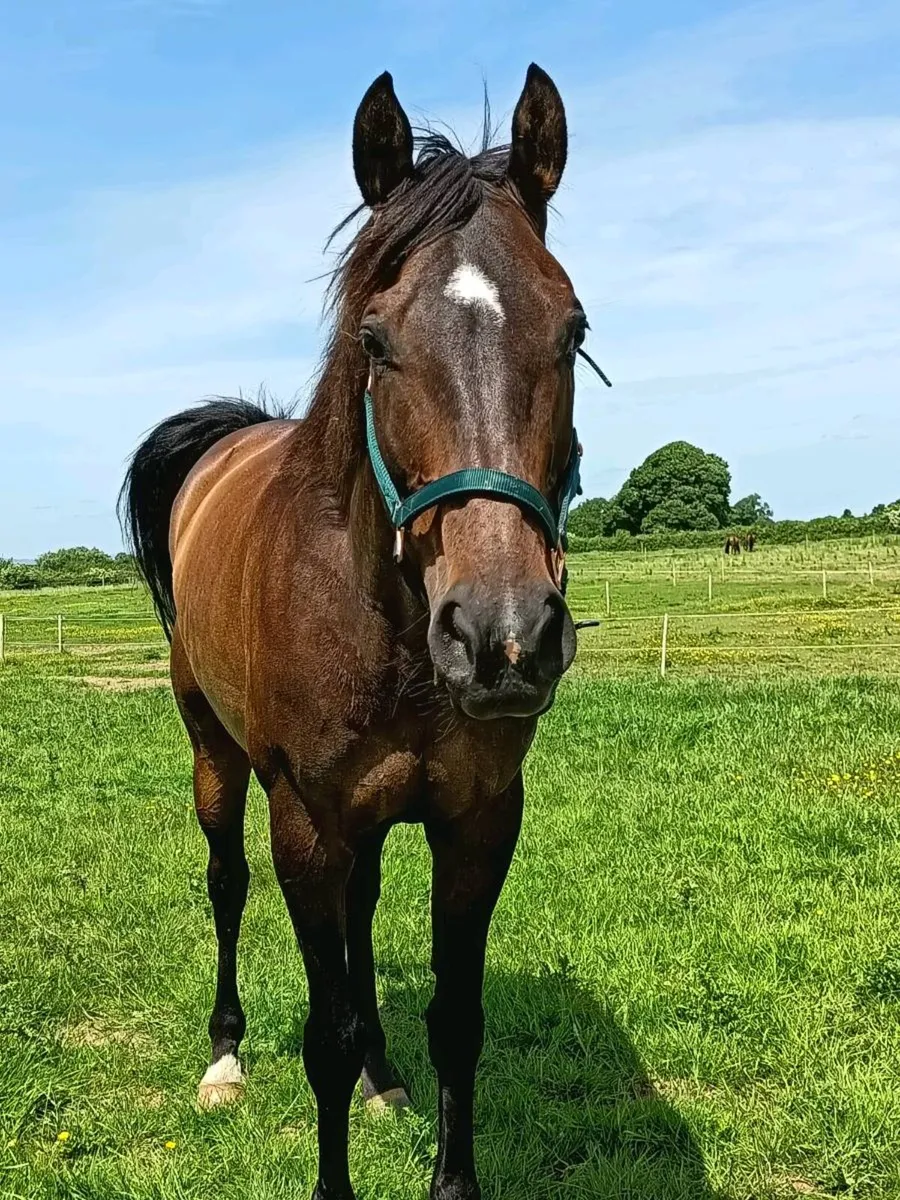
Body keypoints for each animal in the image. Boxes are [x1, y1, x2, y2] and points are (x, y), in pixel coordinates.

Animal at [121, 65, 589, 1200]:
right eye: (377, 341)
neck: (384, 623)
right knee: (225, 885)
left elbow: (456, 1022)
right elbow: (320, 1038)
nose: (503, 636)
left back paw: (385, 1073)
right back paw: (225, 1057)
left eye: (573, 330)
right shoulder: (307, 826)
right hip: (214, 754)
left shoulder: (479, 820)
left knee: (367, 916)